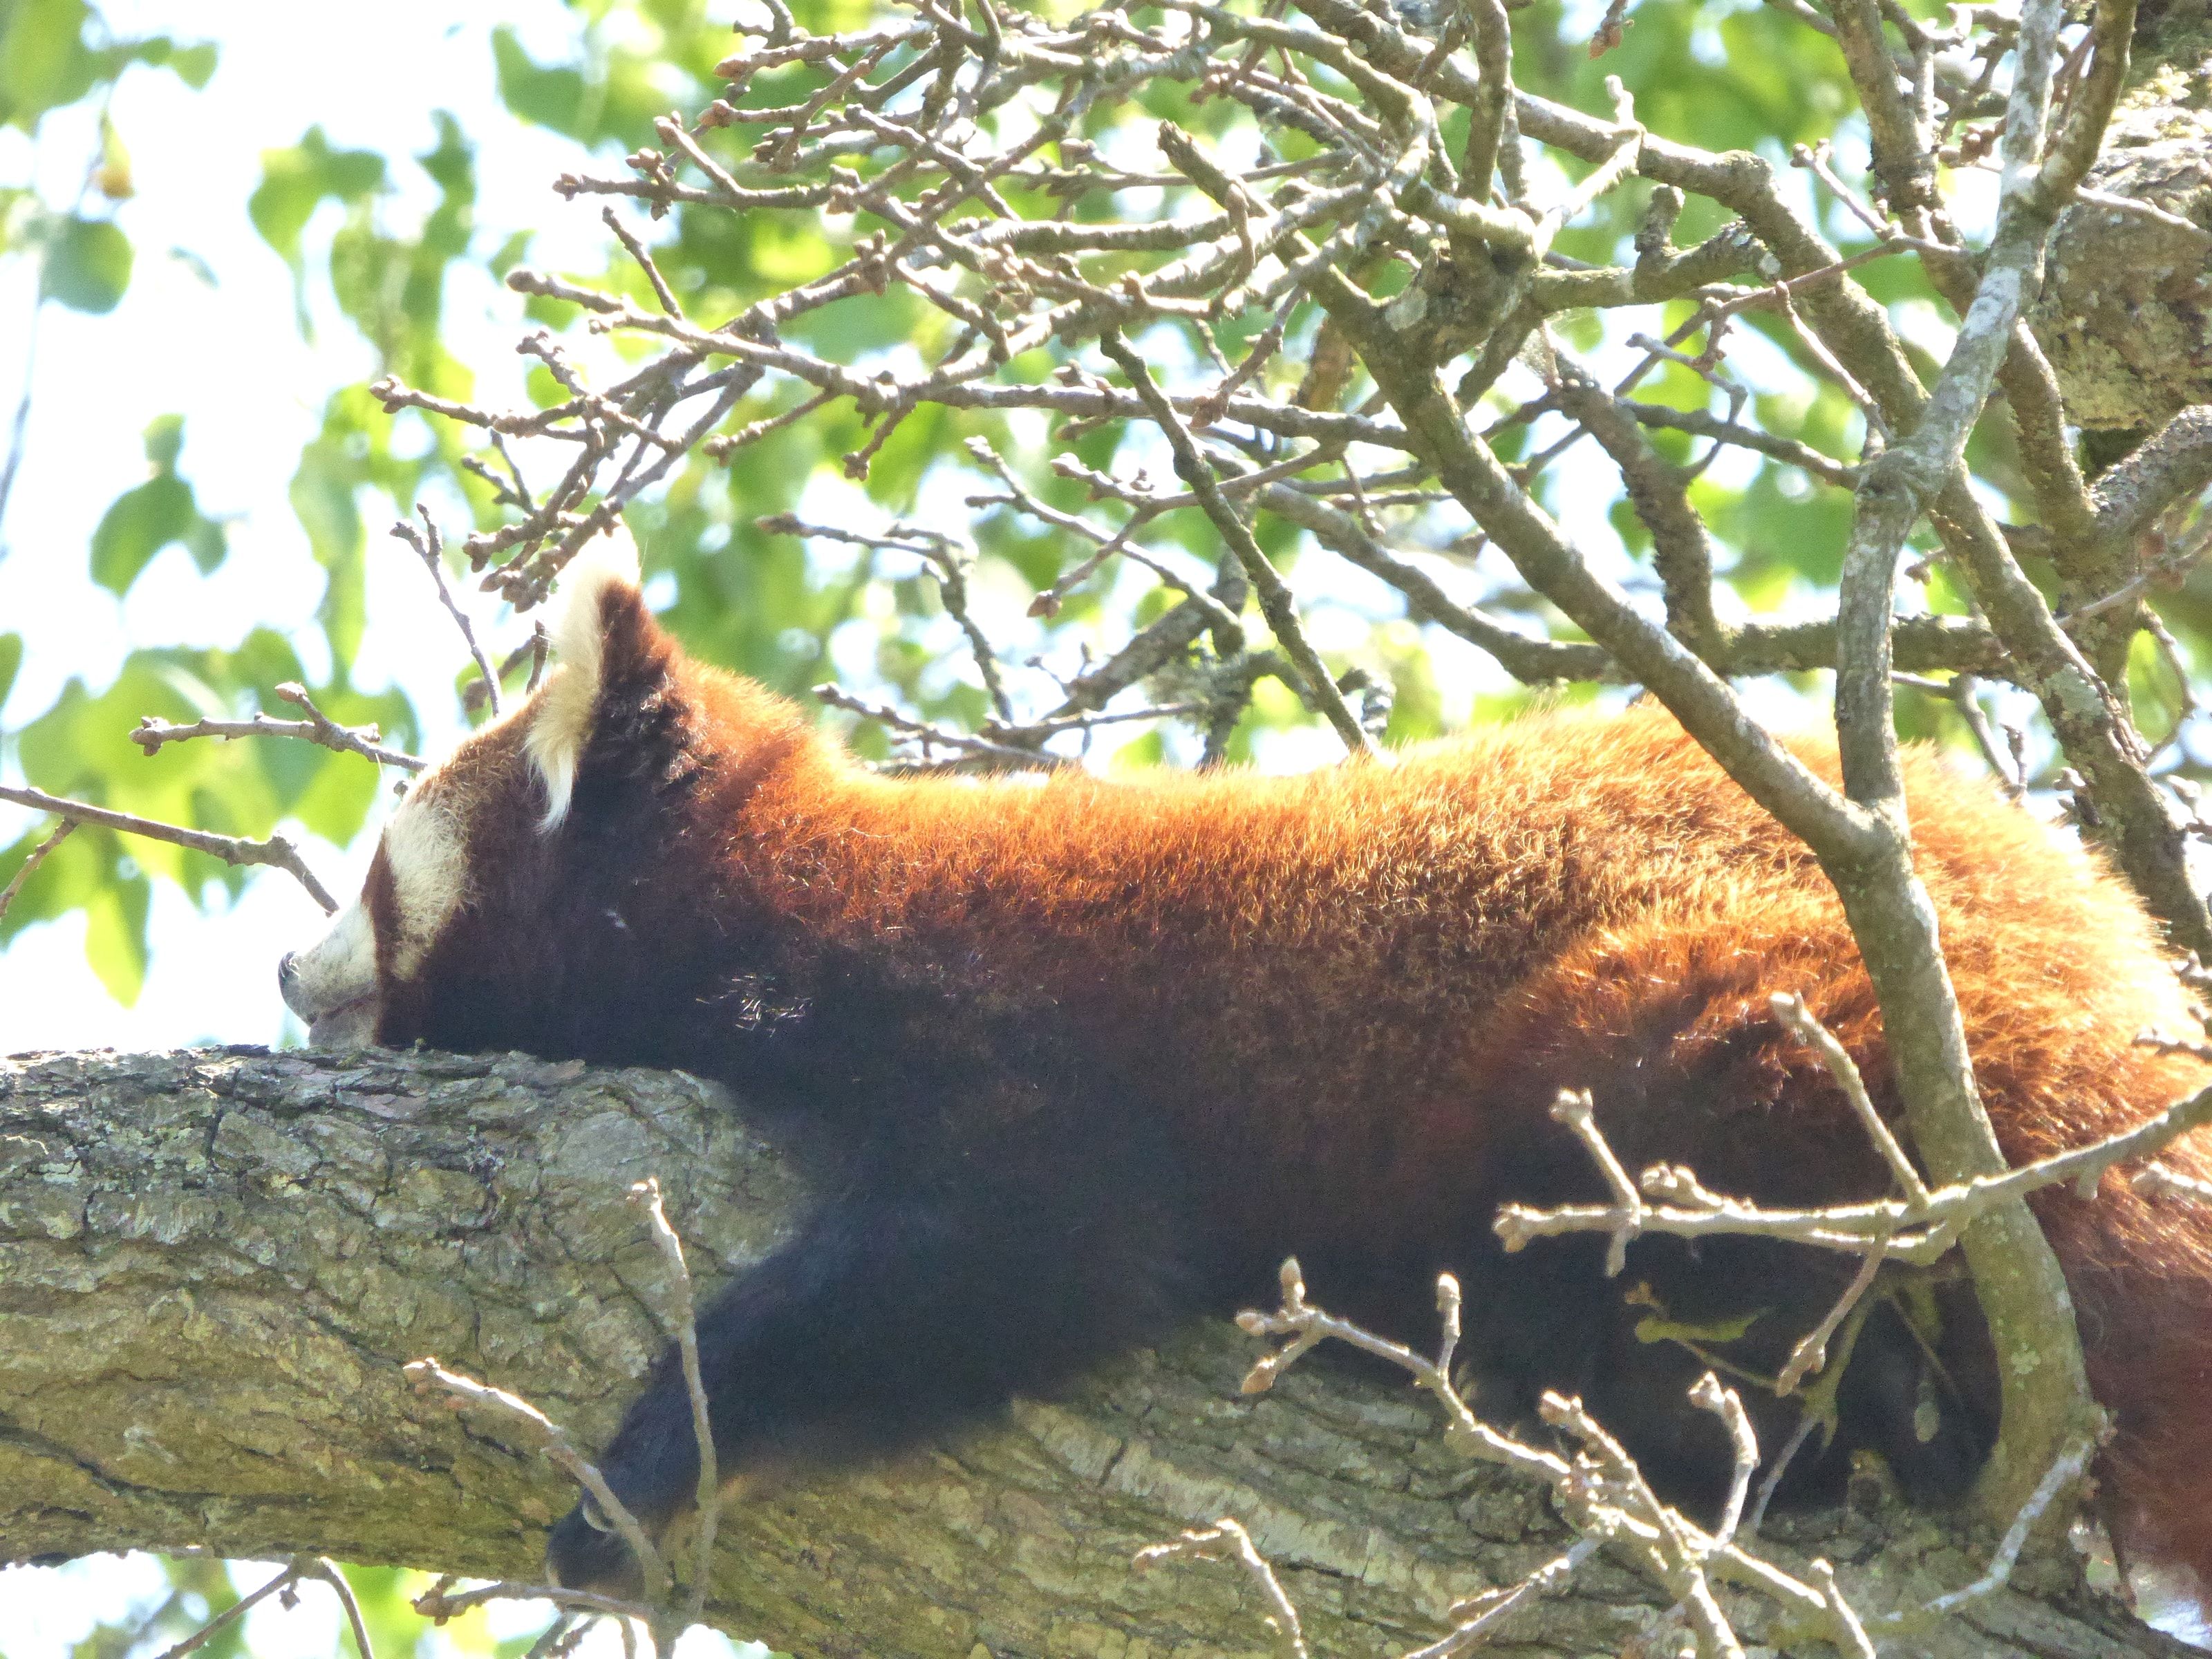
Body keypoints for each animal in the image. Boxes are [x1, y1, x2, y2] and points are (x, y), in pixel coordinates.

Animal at [279, 526, 2212, 1606]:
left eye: (371, 868)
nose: (289, 972)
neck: (790, 900)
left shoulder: (1009, 1035)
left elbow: (1019, 1252)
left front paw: (643, 1468)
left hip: (1752, 1009)